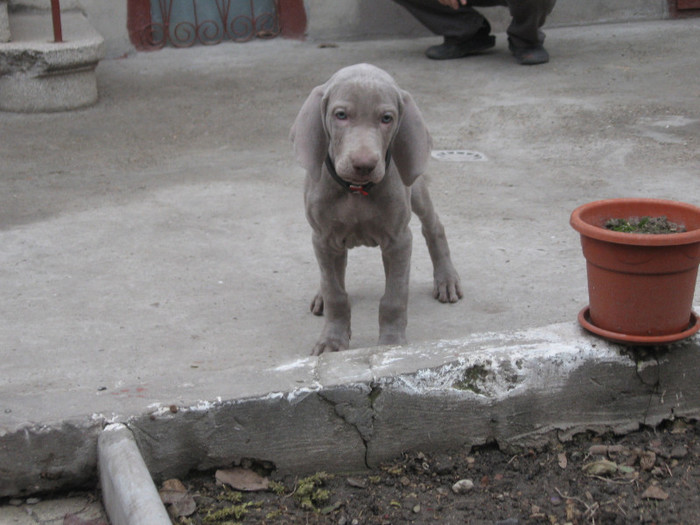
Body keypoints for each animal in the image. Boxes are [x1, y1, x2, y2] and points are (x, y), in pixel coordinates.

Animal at [288, 63, 460, 354]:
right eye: (341, 115)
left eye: (386, 118)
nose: (364, 165)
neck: (356, 190)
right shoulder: (323, 239)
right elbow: (336, 293)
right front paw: (332, 341)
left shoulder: (399, 241)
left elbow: (394, 297)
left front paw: (391, 344)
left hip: (416, 189)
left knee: (433, 226)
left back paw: (446, 279)